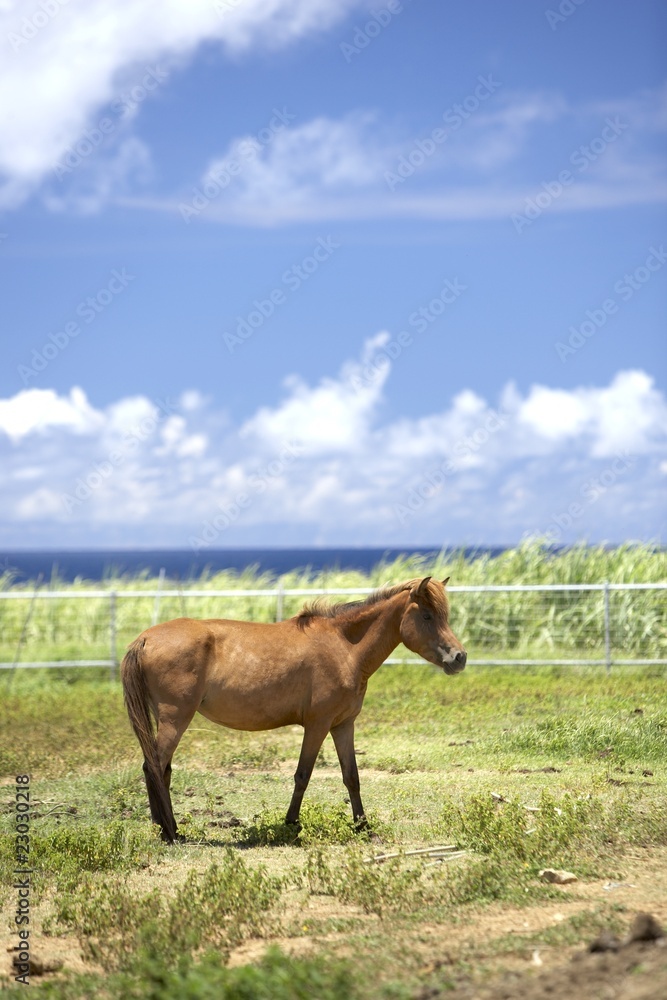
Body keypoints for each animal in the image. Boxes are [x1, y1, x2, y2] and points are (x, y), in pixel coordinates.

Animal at [120, 575, 467, 842]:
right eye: (427, 616)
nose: (459, 657)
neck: (345, 647)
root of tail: (146, 638)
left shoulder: (343, 725)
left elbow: (351, 777)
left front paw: (364, 828)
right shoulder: (317, 725)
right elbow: (303, 774)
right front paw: (291, 824)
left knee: (161, 769)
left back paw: (169, 829)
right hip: (175, 718)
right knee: (155, 767)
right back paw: (169, 832)